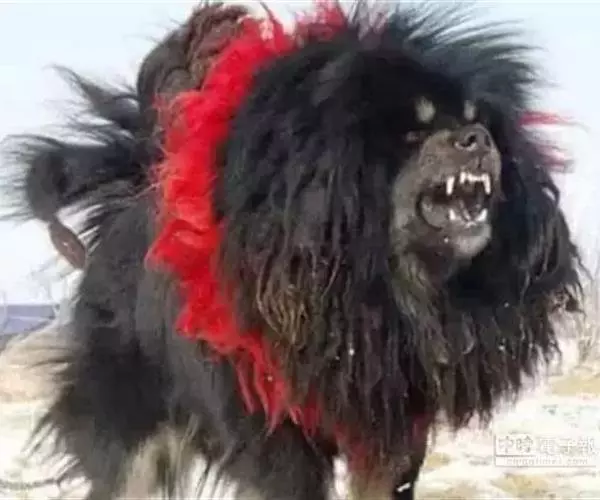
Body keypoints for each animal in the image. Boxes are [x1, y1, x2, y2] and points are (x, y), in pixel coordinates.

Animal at [2, 1, 582, 499]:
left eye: (471, 118)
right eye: (414, 134)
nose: (477, 137)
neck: (372, 282)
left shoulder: (388, 430)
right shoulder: (275, 433)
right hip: (132, 424)